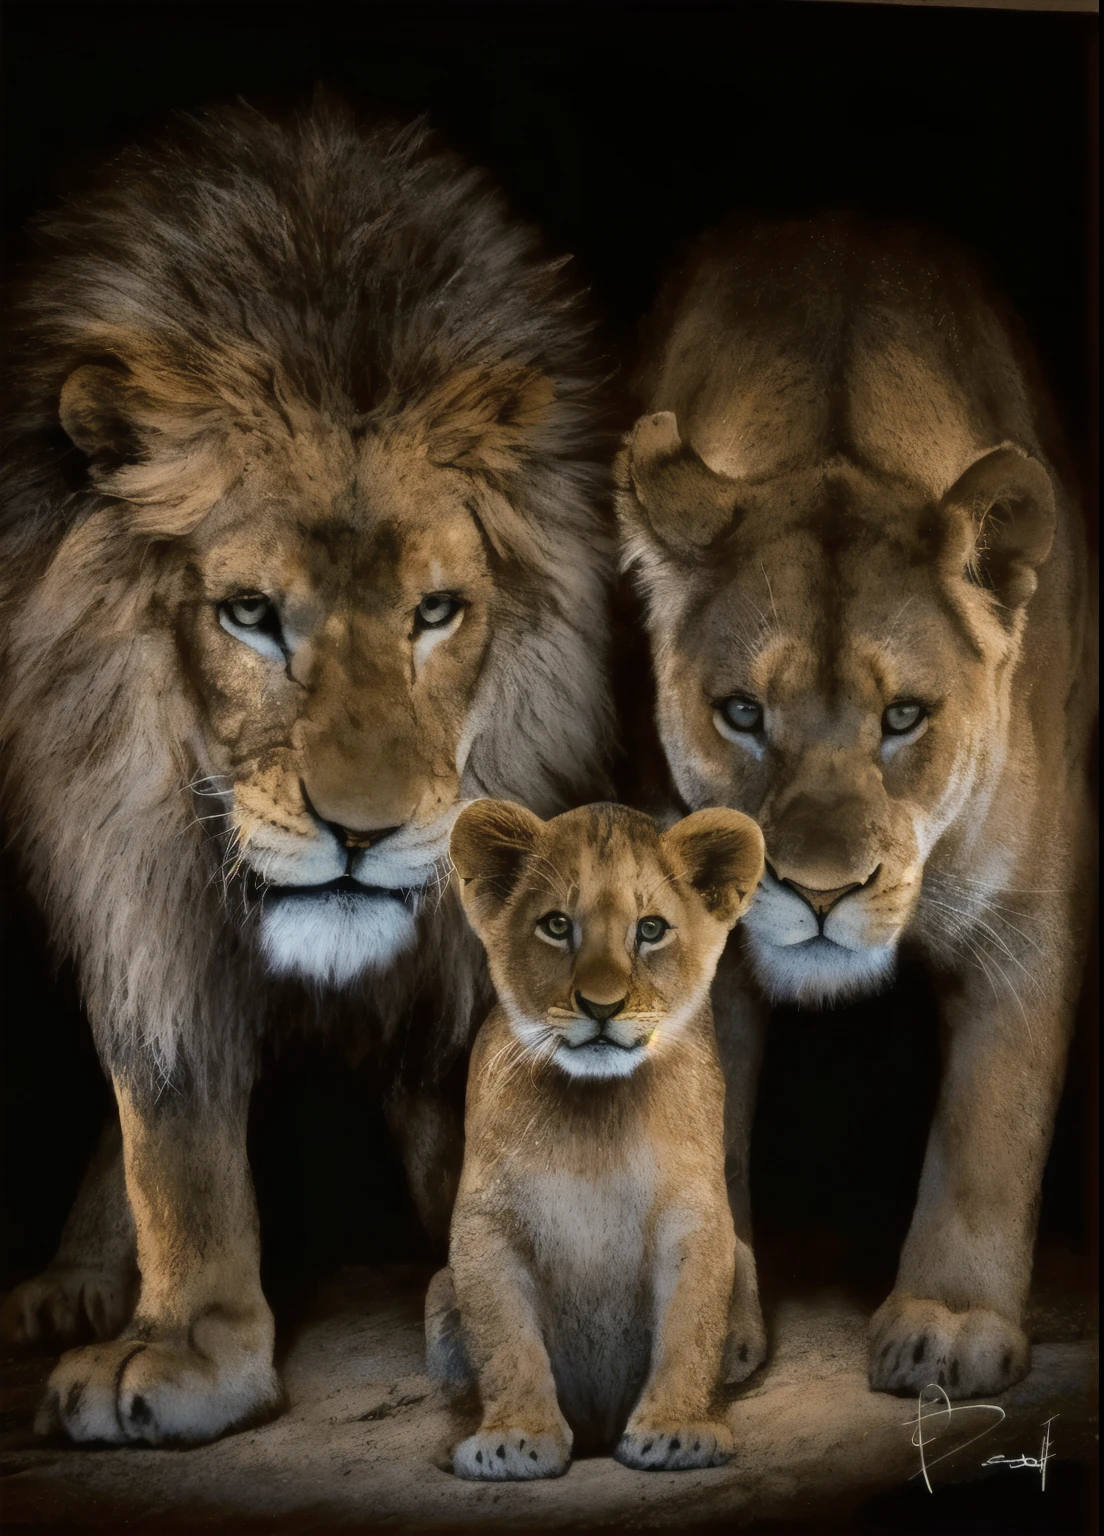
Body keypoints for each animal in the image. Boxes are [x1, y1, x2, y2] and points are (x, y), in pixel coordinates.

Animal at [0, 102, 614, 1443]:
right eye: (249, 614)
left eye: (436, 613)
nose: (363, 834)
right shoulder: (132, 861)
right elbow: (169, 1119)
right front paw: (187, 1346)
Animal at [620, 216, 1099, 1406]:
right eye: (743, 713)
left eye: (905, 716)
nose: (822, 892)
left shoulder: (1030, 909)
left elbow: (991, 1121)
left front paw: (951, 1326)